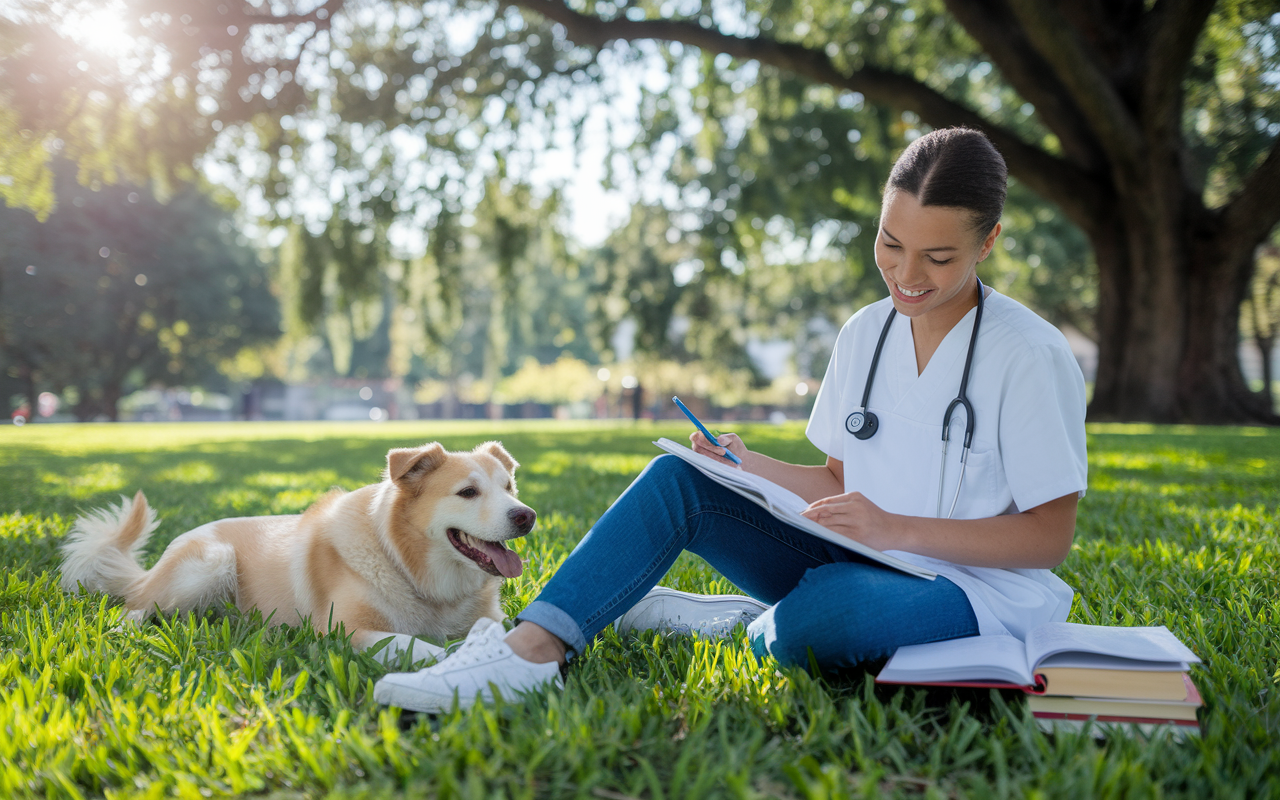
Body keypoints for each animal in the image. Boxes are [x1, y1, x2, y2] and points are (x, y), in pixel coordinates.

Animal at [56, 440, 529, 665]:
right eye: (467, 492)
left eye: (508, 487)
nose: (527, 516)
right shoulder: (344, 631)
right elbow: (419, 646)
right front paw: (459, 657)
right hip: (210, 563)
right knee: (131, 606)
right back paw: (129, 630)